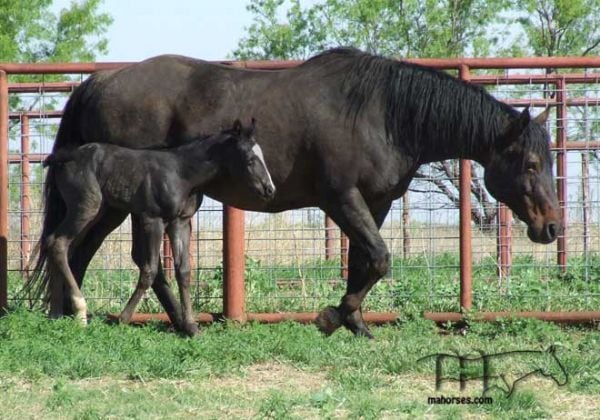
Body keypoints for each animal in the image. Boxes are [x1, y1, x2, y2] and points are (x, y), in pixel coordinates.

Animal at [43, 120, 276, 334]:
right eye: (250, 159)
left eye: (263, 156)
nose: (270, 189)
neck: (182, 173)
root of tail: (65, 157)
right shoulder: (153, 220)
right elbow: (150, 269)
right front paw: (123, 319)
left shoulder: (180, 222)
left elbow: (184, 270)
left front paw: (192, 326)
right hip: (86, 207)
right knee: (59, 243)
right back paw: (80, 312)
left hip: (97, 212)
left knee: (56, 244)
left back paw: (56, 313)